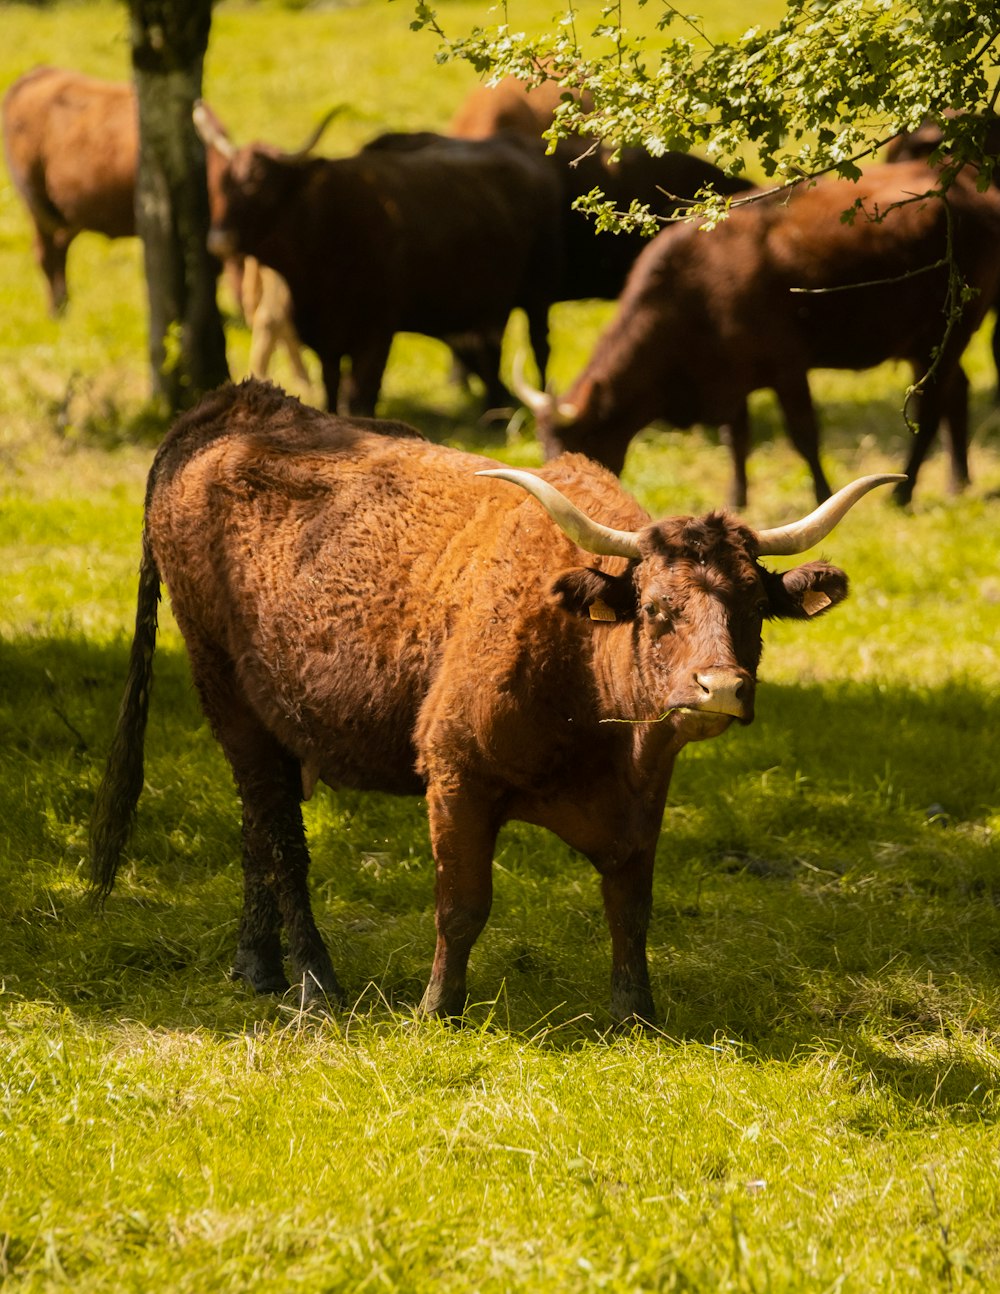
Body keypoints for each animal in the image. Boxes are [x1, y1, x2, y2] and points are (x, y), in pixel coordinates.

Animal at [87, 377, 895, 1024]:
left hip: (270, 717)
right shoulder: (456, 774)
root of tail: (235, 404)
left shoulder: (644, 796)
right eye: (658, 609)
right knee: (280, 834)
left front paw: (637, 1013)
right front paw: (437, 1009)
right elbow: (462, 905)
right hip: (224, 690)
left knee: (258, 825)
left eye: (753, 608)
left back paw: (256, 966)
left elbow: (631, 910)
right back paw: (315, 982)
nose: (719, 688)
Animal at [192, 109, 561, 419]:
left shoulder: (376, 331)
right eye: (223, 184)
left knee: (536, 347)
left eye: (262, 186)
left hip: (533, 296)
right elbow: (331, 390)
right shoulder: (326, 339)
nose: (219, 239)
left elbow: (361, 398)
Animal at [520, 157, 998, 504]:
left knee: (931, 408)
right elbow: (736, 439)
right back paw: (958, 481)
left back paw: (904, 491)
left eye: (581, 443)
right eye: (542, 445)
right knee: (957, 393)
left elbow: (804, 435)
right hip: (928, 346)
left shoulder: (788, 368)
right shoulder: (731, 377)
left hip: (948, 333)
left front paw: (822, 494)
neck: (694, 288)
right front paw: (737, 499)